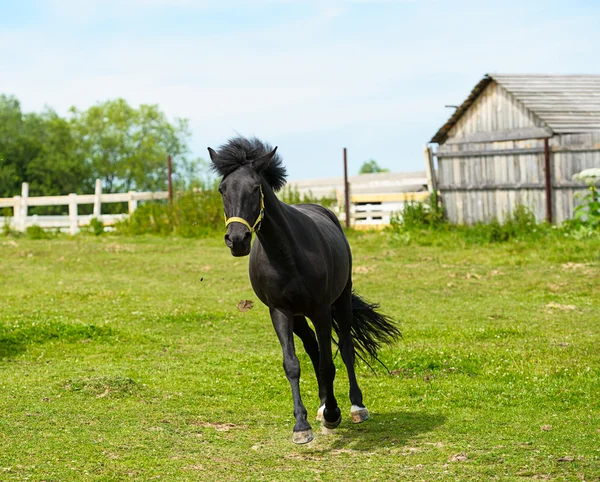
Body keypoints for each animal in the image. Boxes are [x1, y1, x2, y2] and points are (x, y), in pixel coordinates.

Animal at [209, 137, 400, 444]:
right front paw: (302, 425)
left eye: (255, 188)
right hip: (299, 317)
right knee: (313, 348)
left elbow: (328, 364)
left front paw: (334, 415)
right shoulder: (280, 312)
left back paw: (355, 407)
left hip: (340, 301)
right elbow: (293, 364)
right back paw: (322, 406)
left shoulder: (321, 310)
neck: (286, 254)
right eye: (222, 189)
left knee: (345, 348)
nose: (237, 240)